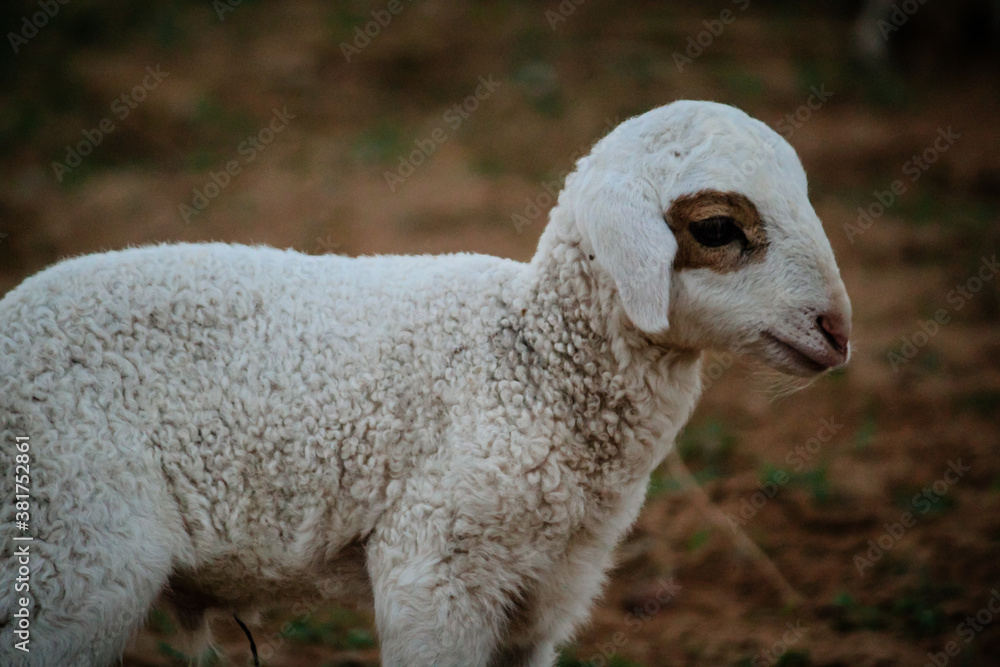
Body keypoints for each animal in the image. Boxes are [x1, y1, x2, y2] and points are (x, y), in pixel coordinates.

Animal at [0, 99, 851, 667]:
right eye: (716, 228)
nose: (839, 332)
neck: (528, 363)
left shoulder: (547, 592)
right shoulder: (436, 564)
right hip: (75, 553)